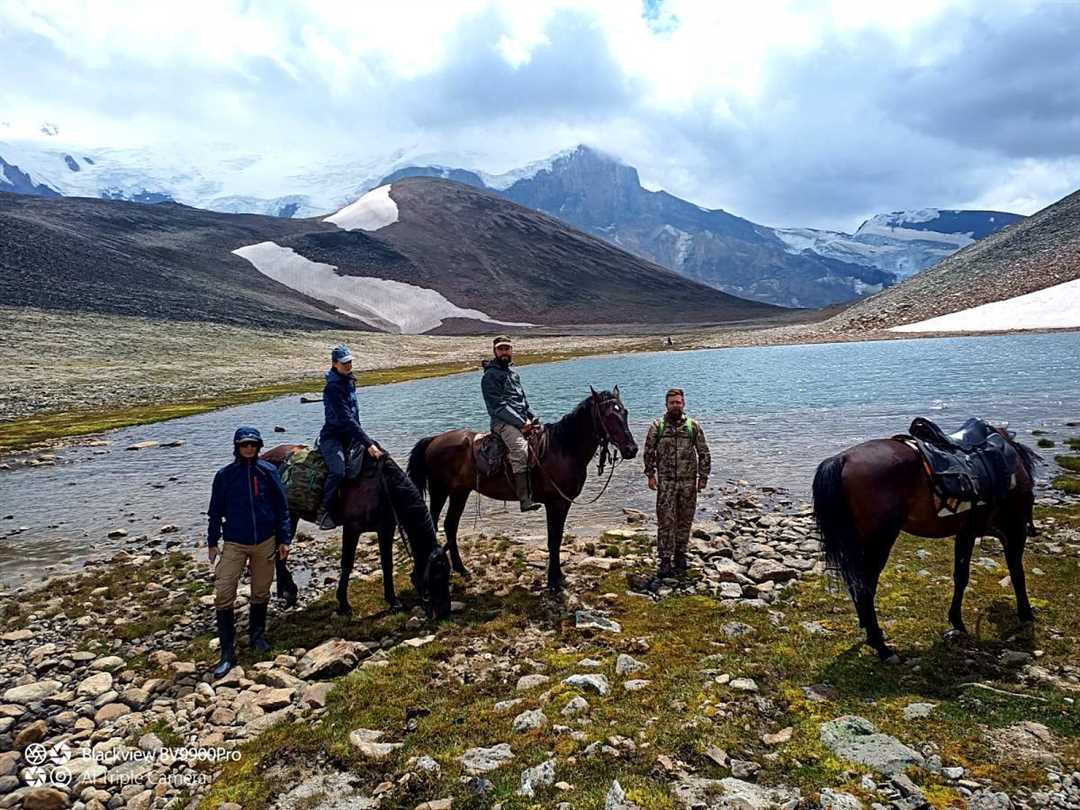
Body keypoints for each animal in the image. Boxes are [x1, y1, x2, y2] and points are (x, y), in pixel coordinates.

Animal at [263, 444, 453, 622]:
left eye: (448, 574)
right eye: (436, 575)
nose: (444, 612)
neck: (384, 489)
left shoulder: (386, 529)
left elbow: (387, 564)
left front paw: (393, 601)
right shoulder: (352, 529)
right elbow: (347, 564)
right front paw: (344, 604)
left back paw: (287, 592)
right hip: (290, 515)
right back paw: (288, 591)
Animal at [408, 386, 635, 591]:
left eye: (624, 412)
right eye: (608, 415)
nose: (631, 449)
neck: (563, 449)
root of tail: (434, 440)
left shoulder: (562, 504)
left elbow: (557, 538)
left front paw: (558, 577)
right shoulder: (556, 503)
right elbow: (554, 540)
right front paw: (553, 582)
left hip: (459, 492)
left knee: (450, 525)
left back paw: (462, 570)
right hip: (440, 490)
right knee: (434, 523)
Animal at [812, 427, 1041, 660]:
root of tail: (842, 459)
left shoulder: (966, 533)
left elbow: (961, 577)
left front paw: (957, 622)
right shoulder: (1014, 532)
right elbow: (1017, 573)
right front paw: (1026, 613)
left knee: (857, 585)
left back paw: (871, 632)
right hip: (880, 541)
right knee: (866, 588)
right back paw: (882, 648)